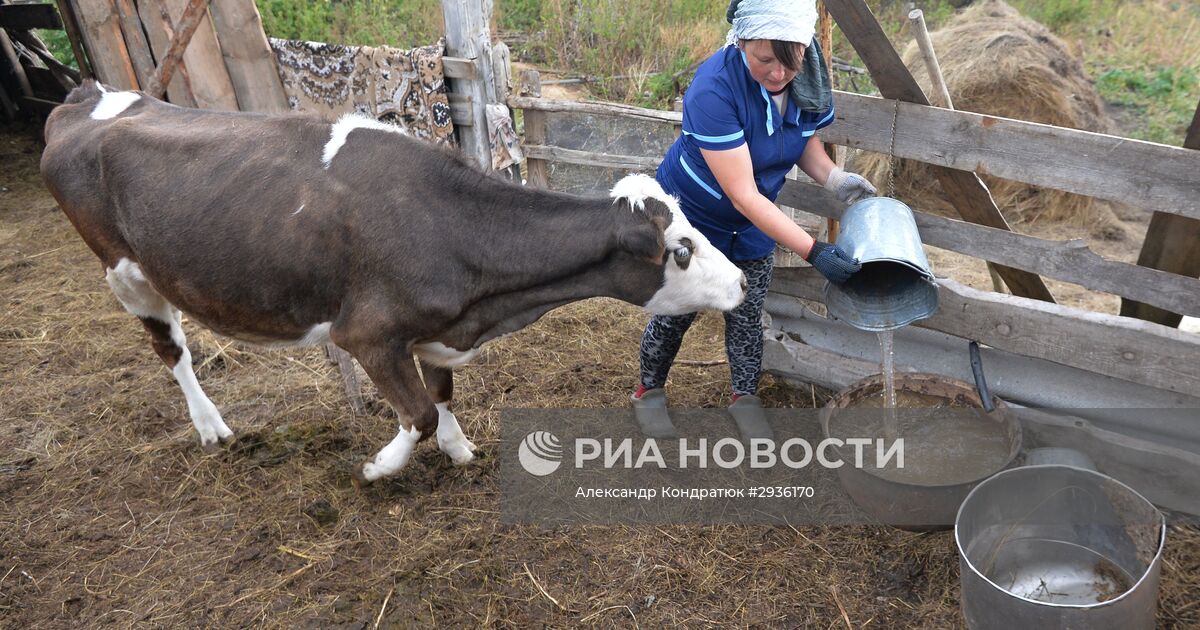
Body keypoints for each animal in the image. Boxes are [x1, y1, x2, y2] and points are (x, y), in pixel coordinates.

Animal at [42, 81, 748, 484]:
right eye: (682, 249)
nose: (743, 280)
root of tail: (83, 99)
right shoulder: (367, 333)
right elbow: (415, 411)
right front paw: (380, 467)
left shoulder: (435, 330)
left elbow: (441, 392)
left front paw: (459, 448)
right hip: (125, 273)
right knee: (172, 350)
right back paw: (210, 425)